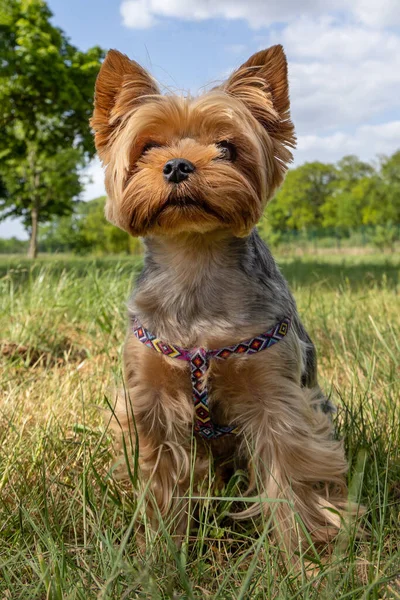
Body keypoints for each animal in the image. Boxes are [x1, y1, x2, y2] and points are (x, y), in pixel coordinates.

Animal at [90, 44, 350, 556]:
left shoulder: (277, 398)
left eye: (226, 148)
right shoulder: (152, 400)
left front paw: (302, 561)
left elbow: (290, 480)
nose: (177, 165)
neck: (196, 259)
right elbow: (162, 479)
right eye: (147, 148)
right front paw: (159, 553)